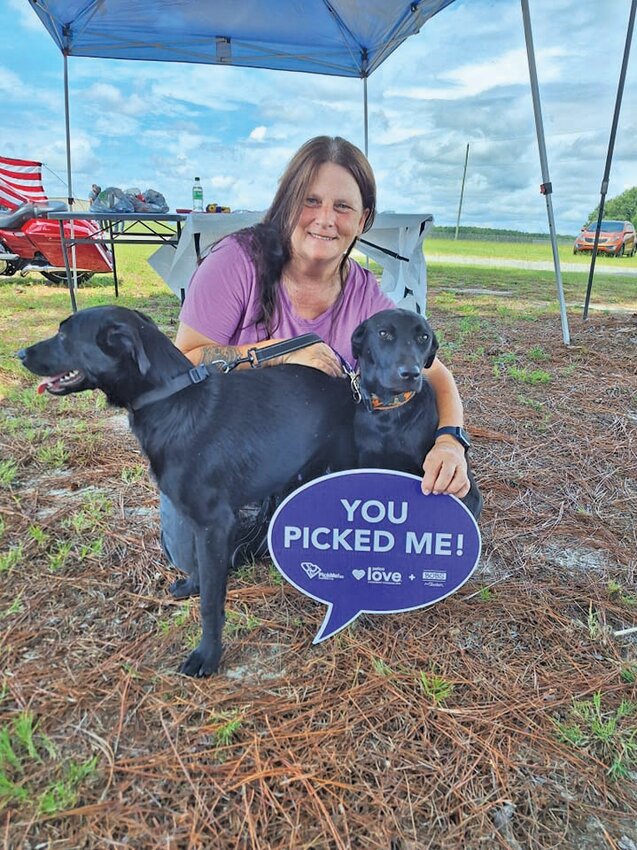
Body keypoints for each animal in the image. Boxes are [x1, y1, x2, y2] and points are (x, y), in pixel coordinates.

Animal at [18, 304, 358, 676]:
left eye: (64, 335)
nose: (20, 354)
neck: (172, 400)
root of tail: (352, 387)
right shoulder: (200, 524)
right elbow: (197, 565)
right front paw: (192, 586)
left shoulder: (214, 523)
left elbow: (211, 603)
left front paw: (207, 654)